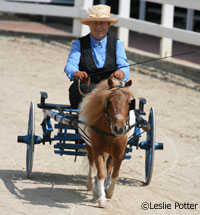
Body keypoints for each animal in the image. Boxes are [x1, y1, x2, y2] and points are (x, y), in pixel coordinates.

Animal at [79, 77, 134, 207]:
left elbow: (115, 173)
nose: (119, 129)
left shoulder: (119, 153)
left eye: (129, 102)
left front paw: (108, 192)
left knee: (108, 165)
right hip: (89, 146)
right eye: (109, 102)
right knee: (91, 162)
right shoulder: (97, 150)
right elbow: (100, 173)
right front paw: (102, 198)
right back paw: (91, 185)